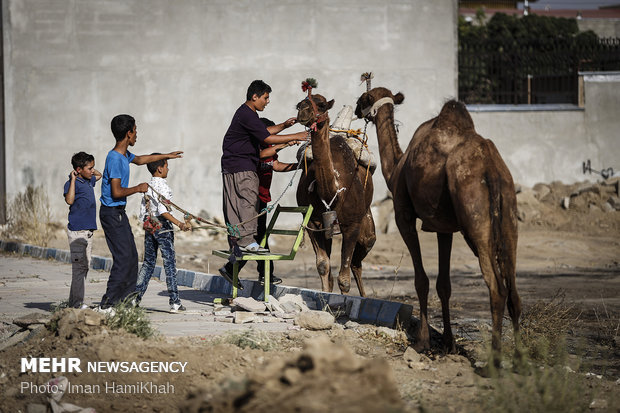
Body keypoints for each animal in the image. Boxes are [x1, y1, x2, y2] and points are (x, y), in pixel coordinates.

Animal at [296, 92, 378, 296]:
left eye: (322, 104)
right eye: (299, 104)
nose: (303, 111)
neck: (332, 193)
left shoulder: (352, 224)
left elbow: (344, 278)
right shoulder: (314, 222)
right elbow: (323, 266)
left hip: (365, 218)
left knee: (363, 251)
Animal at [356, 87, 520, 364]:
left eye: (365, 97)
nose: (357, 108)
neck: (396, 168)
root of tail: (492, 168)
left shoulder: (404, 215)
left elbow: (421, 280)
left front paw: (422, 342)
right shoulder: (444, 228)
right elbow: (444, 285)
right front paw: (449, 344)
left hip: (474, 215)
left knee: (497, 287)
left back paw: (495, 362)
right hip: (509, 211)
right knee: (514, 289)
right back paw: (523, 356)